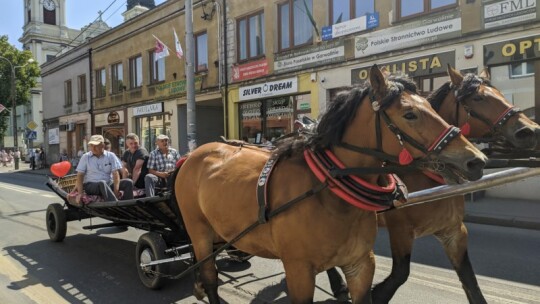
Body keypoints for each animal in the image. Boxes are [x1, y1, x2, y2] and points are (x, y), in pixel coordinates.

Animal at [175, 65, 488, 302]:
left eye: (430, 105)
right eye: (410, 114)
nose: (476, 160)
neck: (329, 191)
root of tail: (194, 154)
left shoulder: (362, 263)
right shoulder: (299, 270)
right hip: (199, 231)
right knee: (210, 277)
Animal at [372, 66, 540, 304]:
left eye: (499, 92)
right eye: (479, 97)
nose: (530, 130)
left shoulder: (454, 231)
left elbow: (471, 283)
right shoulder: (400, 231)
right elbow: (395, 278)